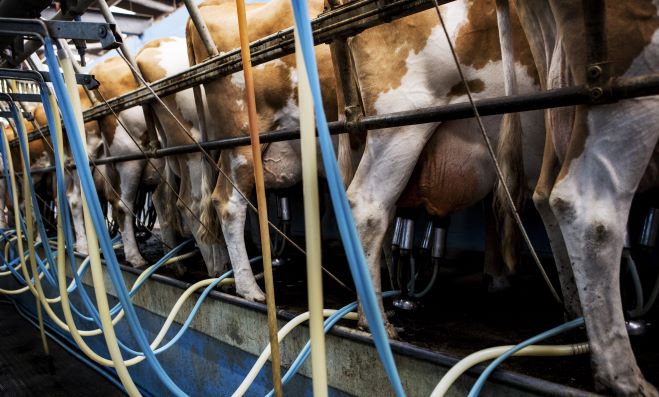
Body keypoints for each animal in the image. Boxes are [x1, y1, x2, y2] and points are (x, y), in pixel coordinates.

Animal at [500, 1, 659, 394]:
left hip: (557, 78)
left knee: (545, 194)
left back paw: (576, 313)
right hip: (627, 80)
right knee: (589, 210)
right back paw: (623, 376)